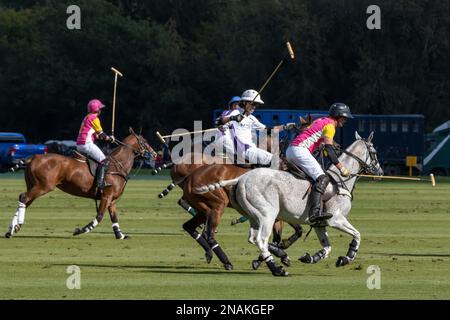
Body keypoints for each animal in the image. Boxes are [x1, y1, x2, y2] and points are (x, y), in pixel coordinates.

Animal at [4, 127, 156, 240]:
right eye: (145, 141)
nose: (154, 154)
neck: (119, 165)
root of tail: (33, 157)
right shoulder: (106, 196)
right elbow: (99, 216)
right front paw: (81, 230)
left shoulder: (112, 199)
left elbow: (114, 217)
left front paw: (121, 235)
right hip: (43, 186)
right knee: (24, 197)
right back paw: (15, 227)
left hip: (33, 185)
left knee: (24, 199)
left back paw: (12, 229)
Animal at [197, 131, 384, 276]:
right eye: (374, 152)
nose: (380, 173)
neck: (340, 181)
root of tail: (241, 178)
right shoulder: (336, 219)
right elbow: (357, 235)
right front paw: (347, 257)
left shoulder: (319, 224)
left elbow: (327, 247)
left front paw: (310, 257)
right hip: (267, 214)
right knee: (260, 239)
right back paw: (277, 269)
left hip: (253, 216)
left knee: (253, 238)